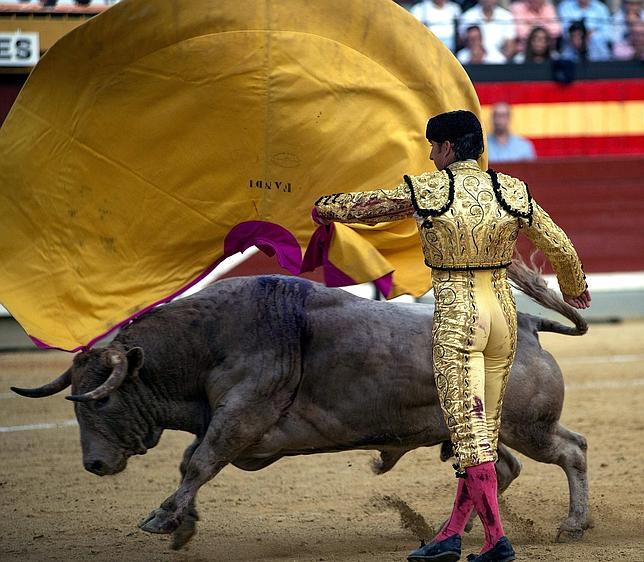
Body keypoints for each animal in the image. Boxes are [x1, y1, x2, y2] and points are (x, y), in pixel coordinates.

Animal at [11, 262, 592, 548]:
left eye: (101, 400)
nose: (94, 463)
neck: (207, 343)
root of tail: (530, 326)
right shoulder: (223, 422)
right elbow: (192, 461)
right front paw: (183, 524)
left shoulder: (237, 418)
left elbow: (198, 462)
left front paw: (163, 519)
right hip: (483, 430)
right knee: (501, 469)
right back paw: (459, 531)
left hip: (528, 426)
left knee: (572, 450)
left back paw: (572, 526)